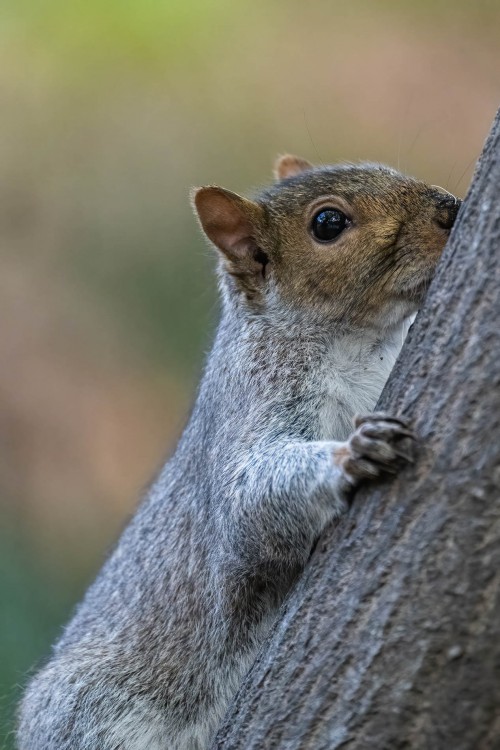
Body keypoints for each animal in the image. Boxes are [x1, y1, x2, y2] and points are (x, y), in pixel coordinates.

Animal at [16, 154, 460, 750]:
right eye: (328, 224)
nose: (450, 209)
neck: (365, 340)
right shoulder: (256, 396)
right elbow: (247, 505)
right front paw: (350, 453)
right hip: (89, 710)